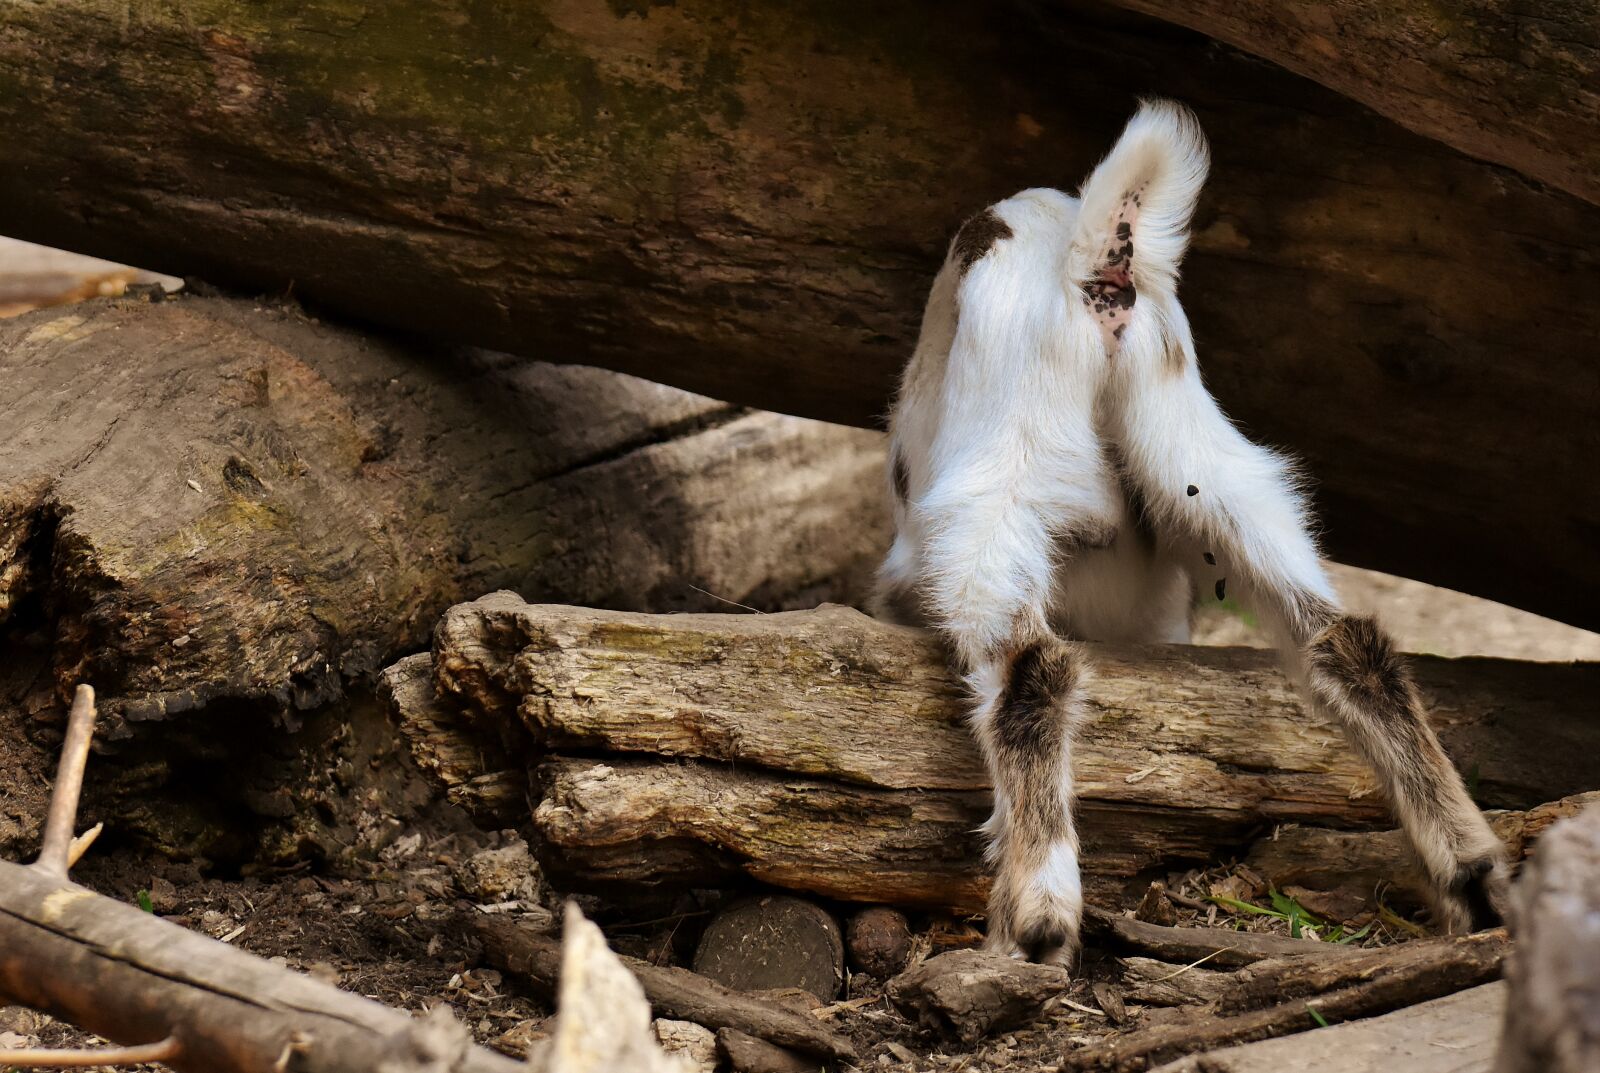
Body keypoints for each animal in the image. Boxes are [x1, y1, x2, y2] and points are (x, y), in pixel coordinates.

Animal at [873, 100, 1508, 966]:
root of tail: (1094, 263)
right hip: (1211, 464)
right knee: (1349, 639)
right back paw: (1470, 873)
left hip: (995, 490)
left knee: (1034, 667)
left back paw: (1036, 917)